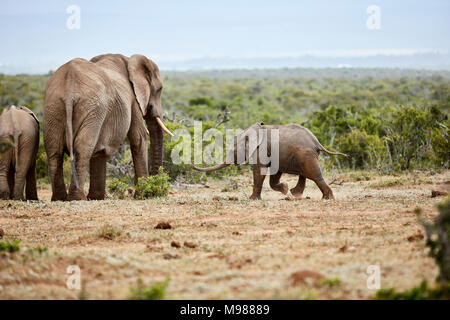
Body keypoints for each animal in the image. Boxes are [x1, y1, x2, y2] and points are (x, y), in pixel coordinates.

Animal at [42, 53, 172, 201]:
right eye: (159, 89)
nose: (159, 190)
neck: (130, 61)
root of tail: (69, 89)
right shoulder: (133, 99)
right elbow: (139, 138)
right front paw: (144, 194)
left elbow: (100, 150)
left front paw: (96, 197)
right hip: (92, 108)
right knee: (82, 147)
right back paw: (77, 198)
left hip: (53, 107)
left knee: (54, 150)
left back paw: (60, 198)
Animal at [194, 122, 348, 200]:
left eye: (234, 149)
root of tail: (317, 142)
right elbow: (274, 173)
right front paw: (284, 189)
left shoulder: (260, 148)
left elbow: (259, 170)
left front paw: (252, 199)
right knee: (305, 174)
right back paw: (295, 194)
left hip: (306, 155)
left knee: (314, 175)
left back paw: (327, 198)